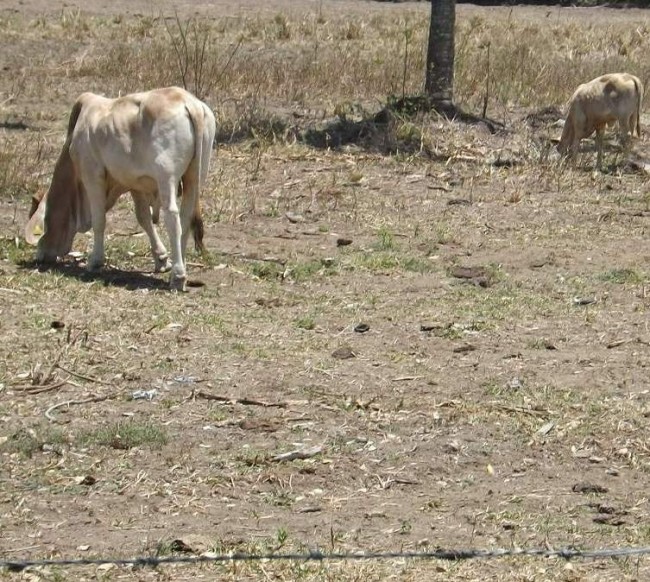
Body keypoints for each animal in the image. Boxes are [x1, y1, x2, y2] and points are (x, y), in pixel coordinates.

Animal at [24, 86, 215, 292]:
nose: (39, 256)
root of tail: (188, 102)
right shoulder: (135, 184)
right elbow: (144, 218)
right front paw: (162, 260)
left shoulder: (92, 175)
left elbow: (99, 220)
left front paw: (95, 261)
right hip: (195, 176)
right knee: (186, 216)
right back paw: (182, 266)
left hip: (167, 177)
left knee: (173, 217)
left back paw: (178, 276)